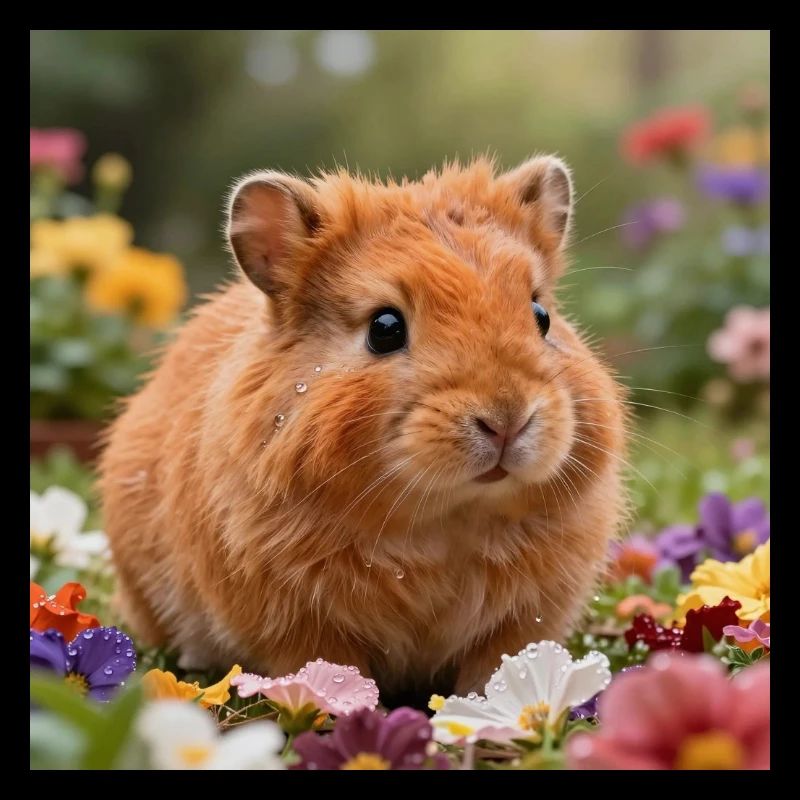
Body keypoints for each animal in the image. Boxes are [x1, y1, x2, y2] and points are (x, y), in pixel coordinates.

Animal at [99, 155, 627, 695]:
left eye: (541, 316)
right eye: (384, 328)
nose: (507, 419)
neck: (444, 520)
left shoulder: (520, 623)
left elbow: (496, 667)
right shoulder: (300, 625)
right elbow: (329, 664)